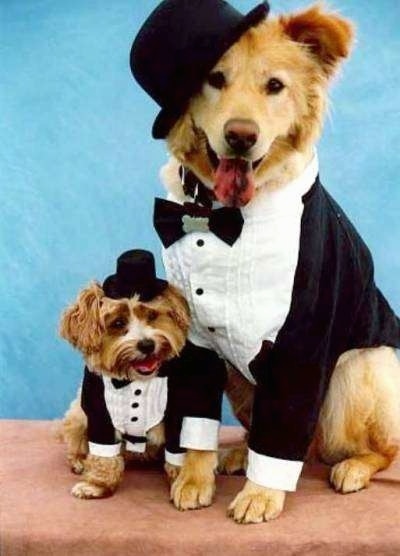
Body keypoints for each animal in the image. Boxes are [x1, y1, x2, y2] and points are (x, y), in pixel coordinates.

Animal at [159, 4, 400, 524]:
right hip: (240, 378)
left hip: (356, 370)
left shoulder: (303, 340)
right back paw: (237, 454)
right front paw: (194, 478)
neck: (221, 217)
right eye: (215, 78)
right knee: (281, 441)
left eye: (275, 85)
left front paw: (262, 494)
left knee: (373, 448)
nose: (240, 136)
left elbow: (283, 433)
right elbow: (196, 427)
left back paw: (353, 467)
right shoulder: (196, 341)